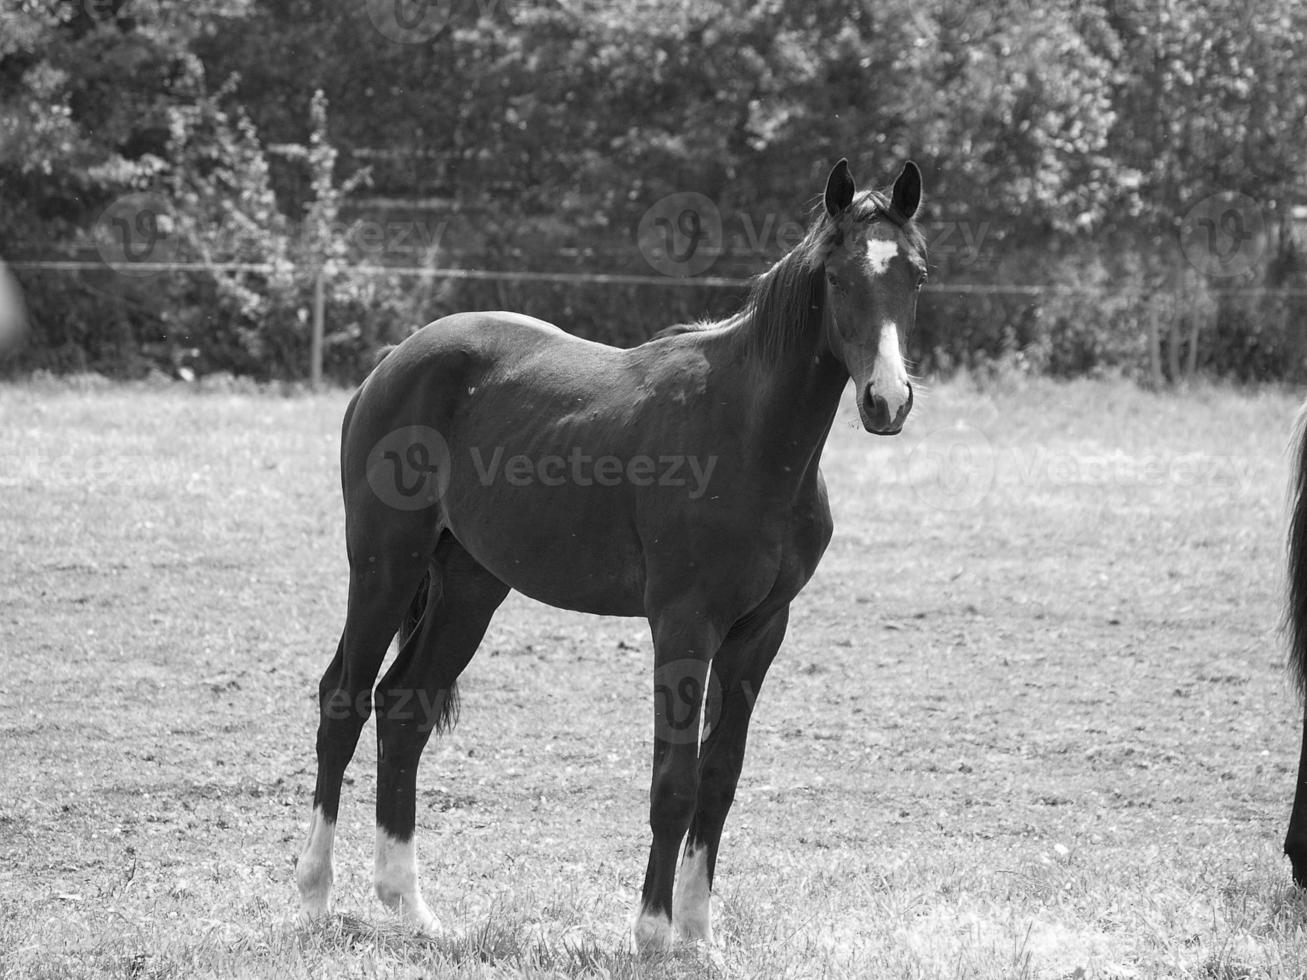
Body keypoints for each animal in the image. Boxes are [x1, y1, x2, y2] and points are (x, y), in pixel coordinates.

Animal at [296, 159, 930, 951]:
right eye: (838, 277)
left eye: (915, 274)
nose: (887, 400)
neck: (747, 434)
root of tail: (392, 366)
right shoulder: (685, 625)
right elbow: (674, 782)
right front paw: (654, 932)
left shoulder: (760, 631)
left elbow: (719, 780)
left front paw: (698, 935)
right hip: (386, 564)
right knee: (344, 700)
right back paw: (314, 897)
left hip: (469, 587)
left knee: (403, 707)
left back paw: (410, 908)